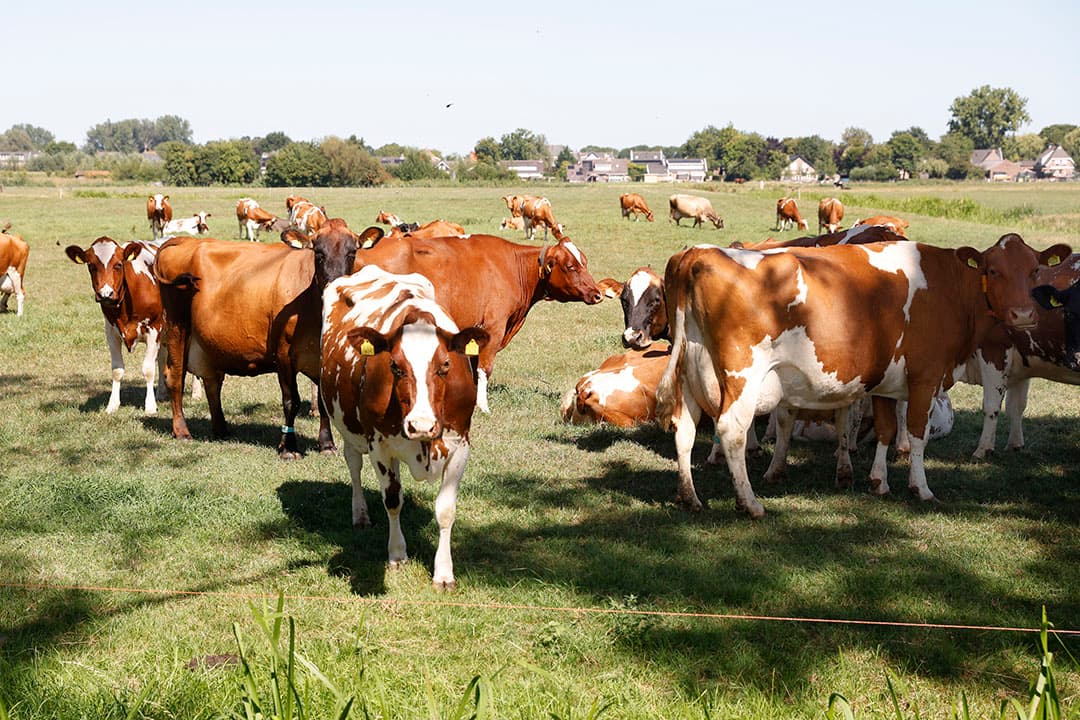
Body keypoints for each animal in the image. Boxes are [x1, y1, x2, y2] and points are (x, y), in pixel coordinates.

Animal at [153, 219, 378, 458]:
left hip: (207, 343)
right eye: (318, 253)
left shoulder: (321, 357)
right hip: (177, 324)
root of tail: (183, 240)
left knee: (212, 381)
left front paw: (327, 444)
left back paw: (221, 429)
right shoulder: (283, 353)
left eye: (352, 253)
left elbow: (322, 401)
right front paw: (288, 447)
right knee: (175, 377)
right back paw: (182, 431)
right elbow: (291, 400)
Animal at [321, 265, 490, 589]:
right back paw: (360, 513)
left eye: (446, 365)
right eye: (395, 366)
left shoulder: (461, 444)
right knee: (353, 464)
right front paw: (397, 553)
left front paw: (444, 573)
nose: (420, 424)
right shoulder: (379, 445)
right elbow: (392, 500)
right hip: (347, 426)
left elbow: (446, 510)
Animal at [355, 233, 604, 413]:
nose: (597, 294)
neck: (513, 266)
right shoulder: (494, 329)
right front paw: (483, 406)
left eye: (585, 262)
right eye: (570, 266)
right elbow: (485, 369)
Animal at [654, 240, 1058, 518]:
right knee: (732, 431)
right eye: (993, 270)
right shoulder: (926, 376)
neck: (947, 285)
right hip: (742, 375)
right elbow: (916, 433)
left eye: (1034, 271)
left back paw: (689, 497)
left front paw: (878, 482)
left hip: (688, 373)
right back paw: (750, 503)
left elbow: (885, 430)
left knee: (684, 429)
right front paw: (921, 489)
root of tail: (698, 253)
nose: (1024, 314)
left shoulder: (886, 382)